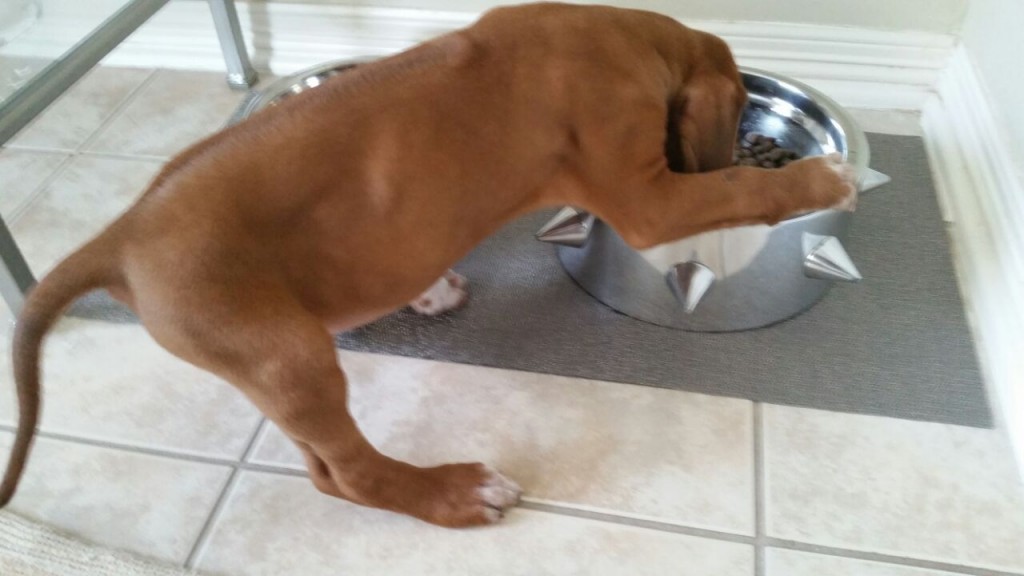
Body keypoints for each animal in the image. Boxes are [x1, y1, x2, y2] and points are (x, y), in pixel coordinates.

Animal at [0, 2, 851, 528]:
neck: (621, 37)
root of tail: (119, 235)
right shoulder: (648, 201)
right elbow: (738, 188)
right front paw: (818, 181)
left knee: (321, 467)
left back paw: (430, 293)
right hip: (286, 354)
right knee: (347, 473)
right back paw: (453, 493)